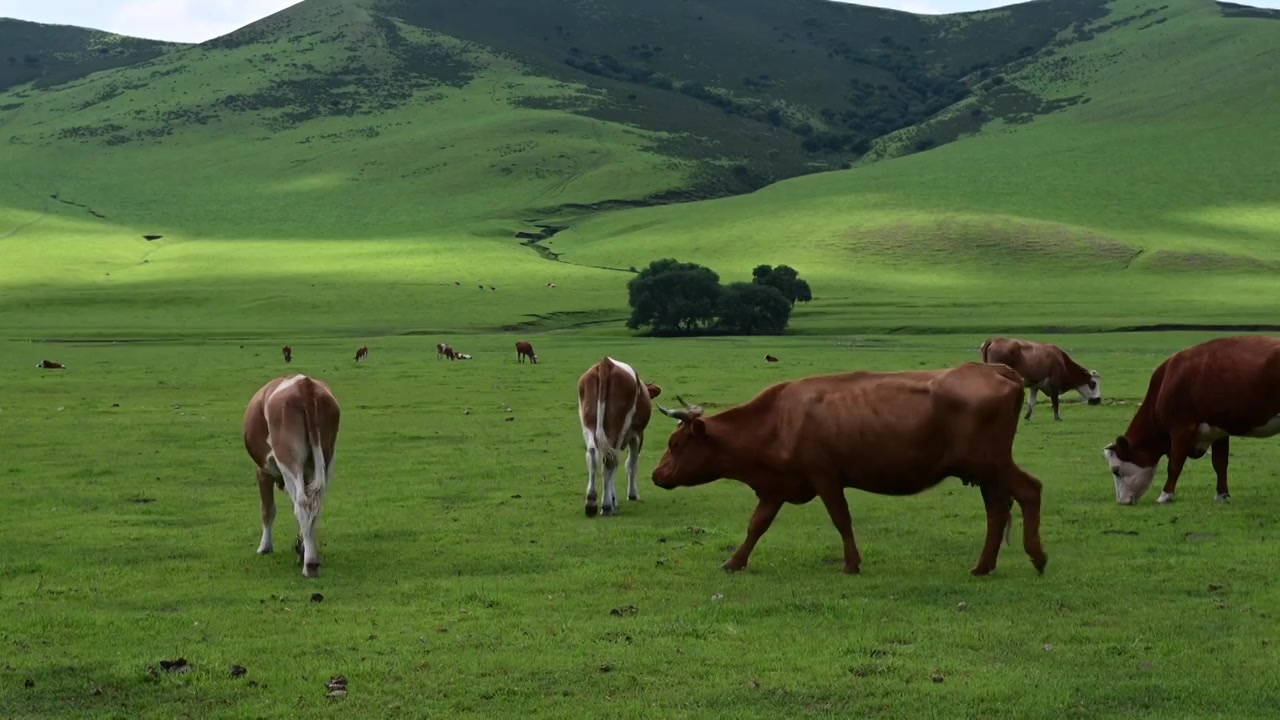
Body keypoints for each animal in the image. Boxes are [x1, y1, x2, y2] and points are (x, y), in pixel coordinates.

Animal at [240, 371, 337, 573]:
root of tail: (304, 385)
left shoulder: (261, 471)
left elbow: (267, 509)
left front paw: (265, 547)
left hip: (287, 458)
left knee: (301, 503)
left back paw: (309, 563)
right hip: (326, 455)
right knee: (315, 504)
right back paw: (308, 554)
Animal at [578, 353, 665, 512]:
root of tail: (606, 364)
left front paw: (614, 498)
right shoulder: (637, 436)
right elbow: (631, 465)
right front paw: (631, 494)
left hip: (589, 424)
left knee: (593, 456)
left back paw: (591, 502)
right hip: (618, 427)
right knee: (610, 461)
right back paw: (606, 506)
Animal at [655, 361, 1044, 573]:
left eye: (675, 444)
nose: (656, 475)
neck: (778, 419)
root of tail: (997, 370)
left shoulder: (826, 477)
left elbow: (841, 520)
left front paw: (852, 564)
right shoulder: (777, 487)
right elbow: (756, 526)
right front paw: (734, 562)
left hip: (991, 464)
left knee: (1029, 491)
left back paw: (1036, 557)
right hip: (986, 474)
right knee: (998, 510)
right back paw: (984, 566)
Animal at [1100, 333, 1280, 504]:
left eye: (1116, 470)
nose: (1121, 501)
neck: (1166, 382)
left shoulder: (1181, 428)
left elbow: (1174, 464)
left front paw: (1165, 496)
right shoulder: (1219, 430)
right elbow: (1220, 463)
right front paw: (1222, 496)